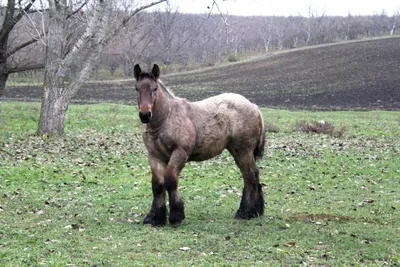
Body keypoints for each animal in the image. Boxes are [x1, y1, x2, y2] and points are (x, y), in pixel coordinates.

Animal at [134, 63, 266, 227]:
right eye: (137, 88)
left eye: (154, 88)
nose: (145, 115)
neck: (165, 119)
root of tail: (254, 106)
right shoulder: (154, 156)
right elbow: (157, 185)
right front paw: (155, 218)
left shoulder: (180, 153)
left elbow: (170, 180)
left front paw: (176, 216)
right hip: (237, 151)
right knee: (252, 174)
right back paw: (255, 211)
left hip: (243, 151)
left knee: (249, 176)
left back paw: (245, 212)